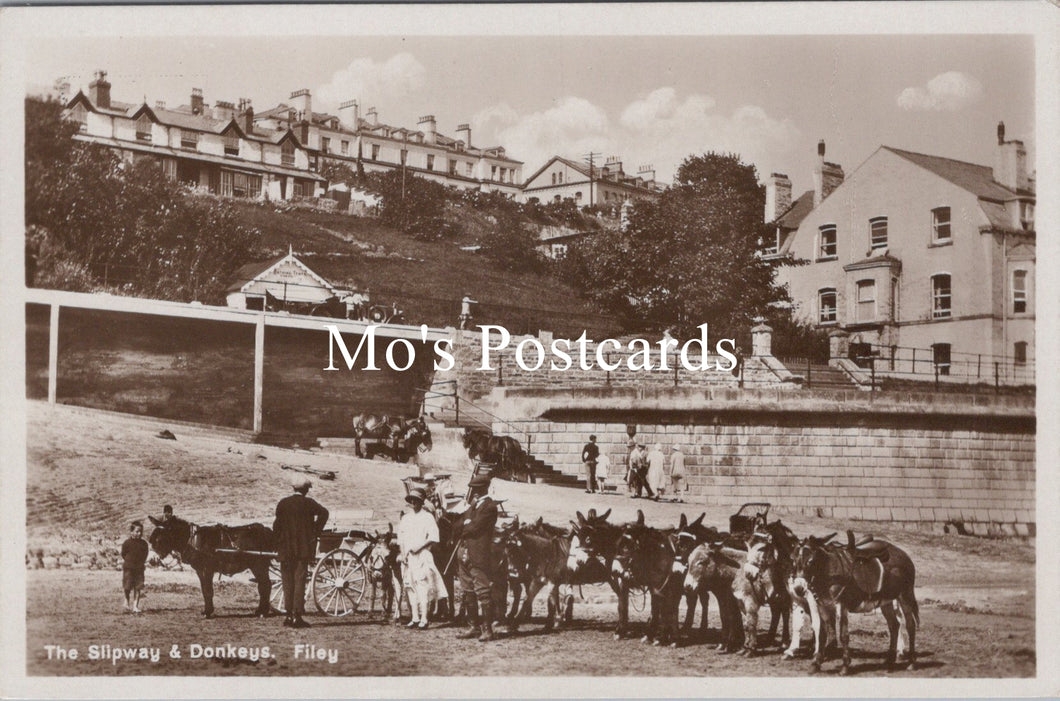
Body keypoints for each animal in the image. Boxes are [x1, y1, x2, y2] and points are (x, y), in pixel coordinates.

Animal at [147, 513, 275, 619]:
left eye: (159, 540)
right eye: (151, 540)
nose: (152, 561)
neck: (193, 540)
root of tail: (265, 529)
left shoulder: (207, 569)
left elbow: (208, 590)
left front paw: (208, 612)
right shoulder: (199, 570)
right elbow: (204, 590)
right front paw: (206, 611)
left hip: (259, 565)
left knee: (265, 585)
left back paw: (262, 612)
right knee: (264, 586)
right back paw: (260, 611)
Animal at [797, 530, 920, 674]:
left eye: (810, 561)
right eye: (795, 559)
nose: (798, 588)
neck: (829, 571)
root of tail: (905, 556)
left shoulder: (841, 606)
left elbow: (844, 635)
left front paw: (845, 666)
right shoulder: (823, 606)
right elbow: (822, 634)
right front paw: (816, 663)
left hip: (905, 596)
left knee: (910, 626)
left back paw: (911, 662)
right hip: (886, 602)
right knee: (894, 626)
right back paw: (889, 661)